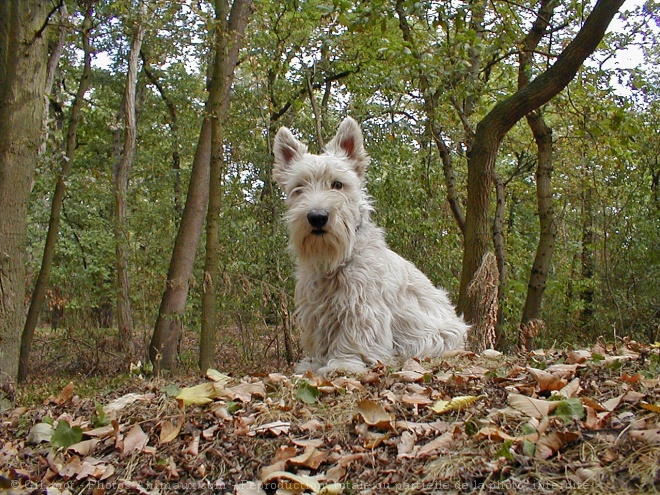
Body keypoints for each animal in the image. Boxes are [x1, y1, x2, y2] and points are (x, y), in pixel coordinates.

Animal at [274, 118, 470, 374]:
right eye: (299, 188)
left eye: (337, 184)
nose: (317, 217)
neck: (337, 259)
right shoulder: (316, 309)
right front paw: (315, 363)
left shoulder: (361, 305)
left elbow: (353, 336)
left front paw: (344, 363)